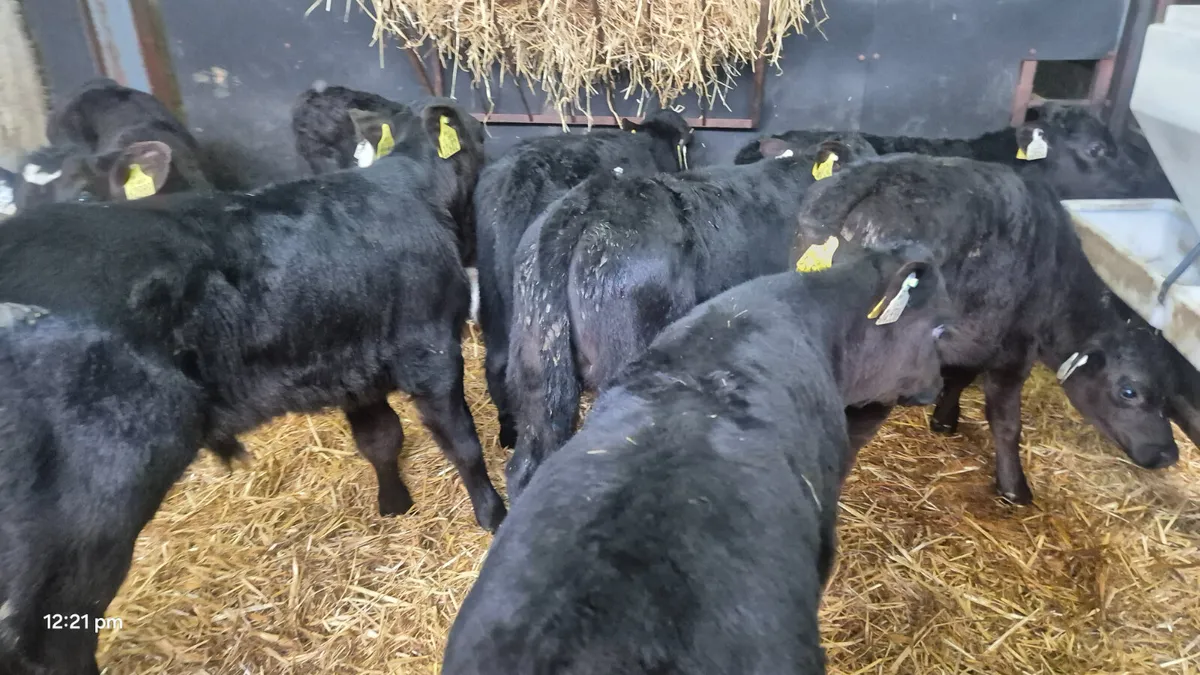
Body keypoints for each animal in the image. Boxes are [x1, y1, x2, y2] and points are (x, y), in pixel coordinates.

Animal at [0, 98, 507, 531]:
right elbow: (463, 444)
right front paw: (493, 514)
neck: (413, 187)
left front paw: (394, 503)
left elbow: (380, 439)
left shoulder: (351, 362)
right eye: (479, 132)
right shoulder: (429, 349)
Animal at [790, 153, 1200, 504]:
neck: (1056, 278)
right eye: (1129, 391)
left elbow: (959, 376)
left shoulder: (977, 334)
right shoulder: (1013, 350)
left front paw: (944, 419)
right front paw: (1014, 487)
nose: (1168, 453)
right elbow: (1005, 421)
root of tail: (870, 182)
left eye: (1168, 393)